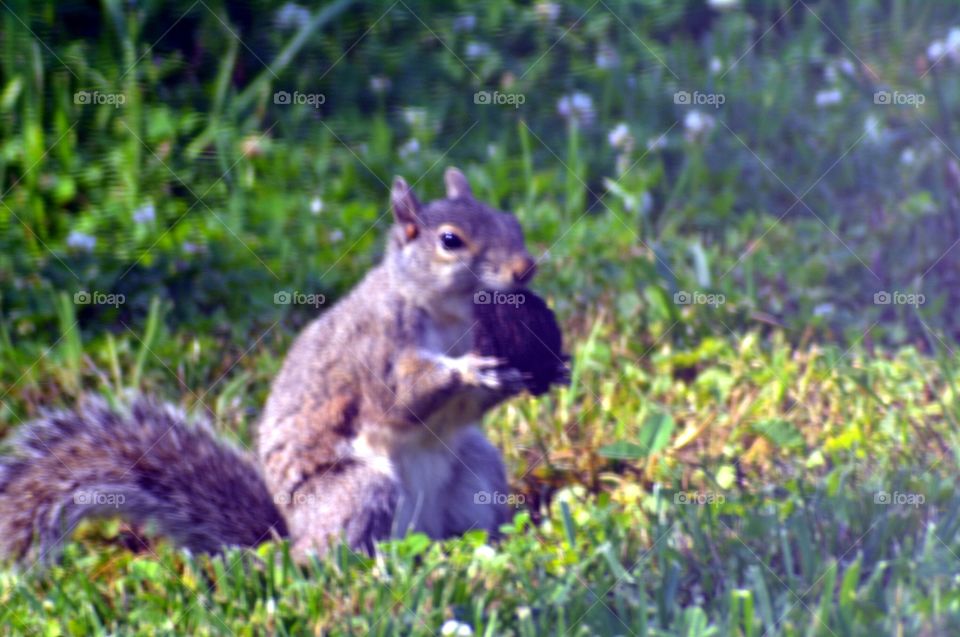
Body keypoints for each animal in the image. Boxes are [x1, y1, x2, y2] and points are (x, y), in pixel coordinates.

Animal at [0, 167, 555, 564]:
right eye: (449, 241)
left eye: (511, 222)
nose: (525, 267)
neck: (448, 313)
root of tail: (287, 541)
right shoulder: (375, 351)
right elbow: (399, 400)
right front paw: (470, 371)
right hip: (359, 493)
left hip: (476, 470)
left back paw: (486, 549)